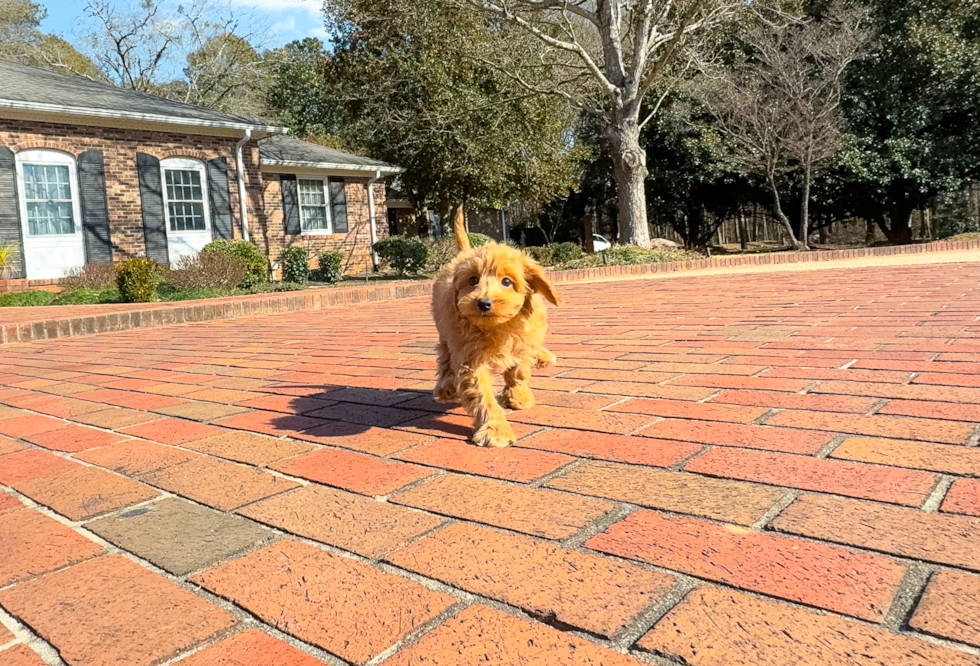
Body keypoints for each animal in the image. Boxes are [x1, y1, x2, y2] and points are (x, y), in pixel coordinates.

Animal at [428, 205, 560, 448]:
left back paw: (543, 357)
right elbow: (482, 395)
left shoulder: (523, 340)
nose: (483, 302)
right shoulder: (470, 360)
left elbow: (519, 368)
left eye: (506, 281)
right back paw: (447, 387)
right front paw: (495, 429)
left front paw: (518, 395)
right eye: (472, 280)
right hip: (444, 331)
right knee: (445, 357)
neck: (499, 327)